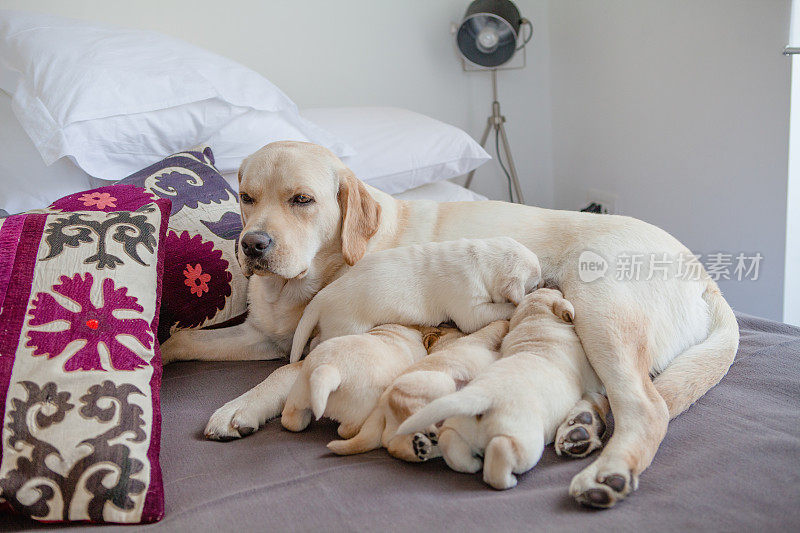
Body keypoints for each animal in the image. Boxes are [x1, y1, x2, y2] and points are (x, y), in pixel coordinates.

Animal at [290, 236, 540, 362]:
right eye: (535, 282)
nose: (544, 282)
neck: (482, 258)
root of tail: (321, 297)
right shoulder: (470, 308)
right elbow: (497, 310)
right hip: (346, 326)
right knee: (318, 341)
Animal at [326, 320, 506, 462]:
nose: (446, 322)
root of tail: (380, 408)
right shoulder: (477, 338)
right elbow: (495, 327)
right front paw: (506, 320)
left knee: (396, 447)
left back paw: (423, 446)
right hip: (440, 382)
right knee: (402, 404)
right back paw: (429, 431)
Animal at [396, 288, 604, 492]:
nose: (553, 285)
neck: (536, 324)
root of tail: (482, 398)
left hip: (459, 424)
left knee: (450, 441)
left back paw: (472, 464)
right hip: (523, 439)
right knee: (501, 450)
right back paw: (506, 479)